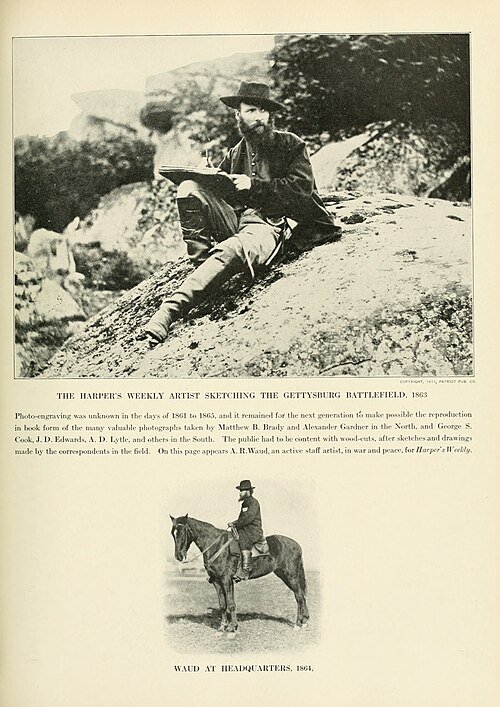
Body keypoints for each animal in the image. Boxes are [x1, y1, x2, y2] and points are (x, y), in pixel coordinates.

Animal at [171, 516, 308, 636]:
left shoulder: (226, 580)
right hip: (285, 575)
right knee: (301, 595)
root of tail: (297, 545)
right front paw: (222, 628)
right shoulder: (217, 581)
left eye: (182, 532)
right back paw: (305, 621)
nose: (178, 556)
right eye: (173, 533)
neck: (217, 546)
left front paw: (232, 629)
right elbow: (223, 604)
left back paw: (298, 624)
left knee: (299, 596)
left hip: (290, 576)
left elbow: (231, 604)